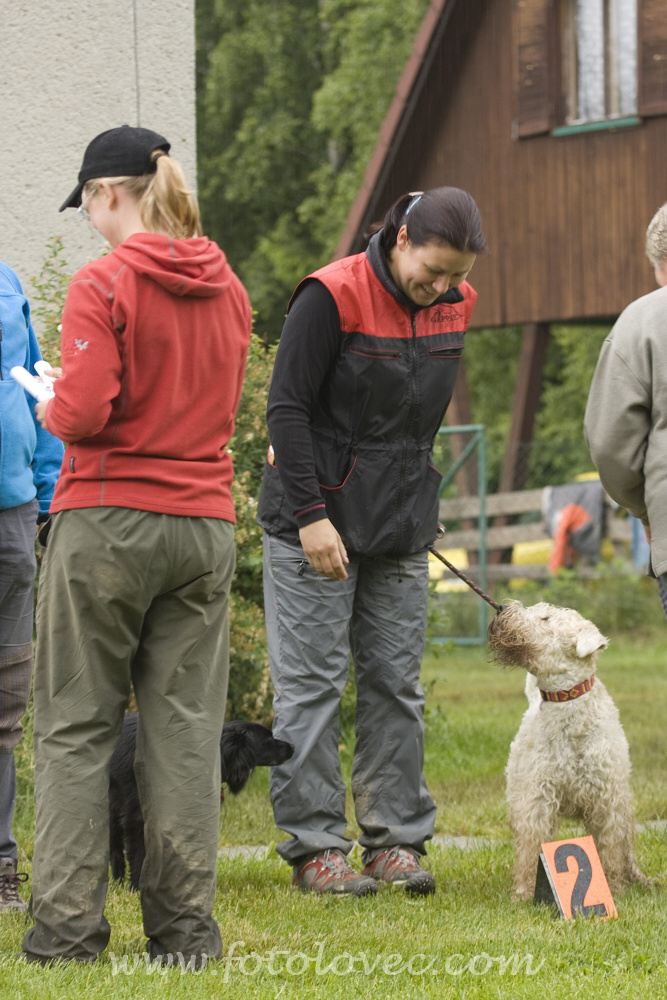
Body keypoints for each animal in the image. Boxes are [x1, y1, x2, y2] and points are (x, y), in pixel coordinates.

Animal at [488, 600, 644, 900]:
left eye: (546, 618)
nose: (503, 609)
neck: (566, 704)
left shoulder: (607, 798)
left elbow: (610, 847)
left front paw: (612, 886)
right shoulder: (536, 798)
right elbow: (531, 846)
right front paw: (525, 891)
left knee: (626, 844)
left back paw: (637, 876)